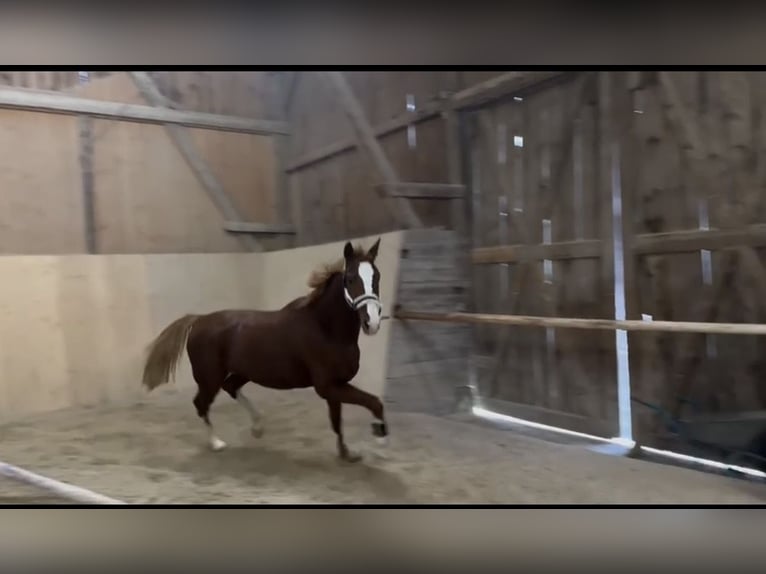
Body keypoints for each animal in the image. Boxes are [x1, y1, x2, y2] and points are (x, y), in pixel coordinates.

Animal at [140, 238, 387, 462]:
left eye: (377, 277)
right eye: (351, 278)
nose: (372, 323)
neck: (326, 328)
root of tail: (198, 320)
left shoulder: (335, 386)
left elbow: (337, 421)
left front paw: (347, 453)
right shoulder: (327, 386)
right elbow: (374, 402)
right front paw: (380, 435)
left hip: (243, 372)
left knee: (229, 388)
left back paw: (257, 427)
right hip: (209, 377)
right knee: (201, 404)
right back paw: (216, 443)